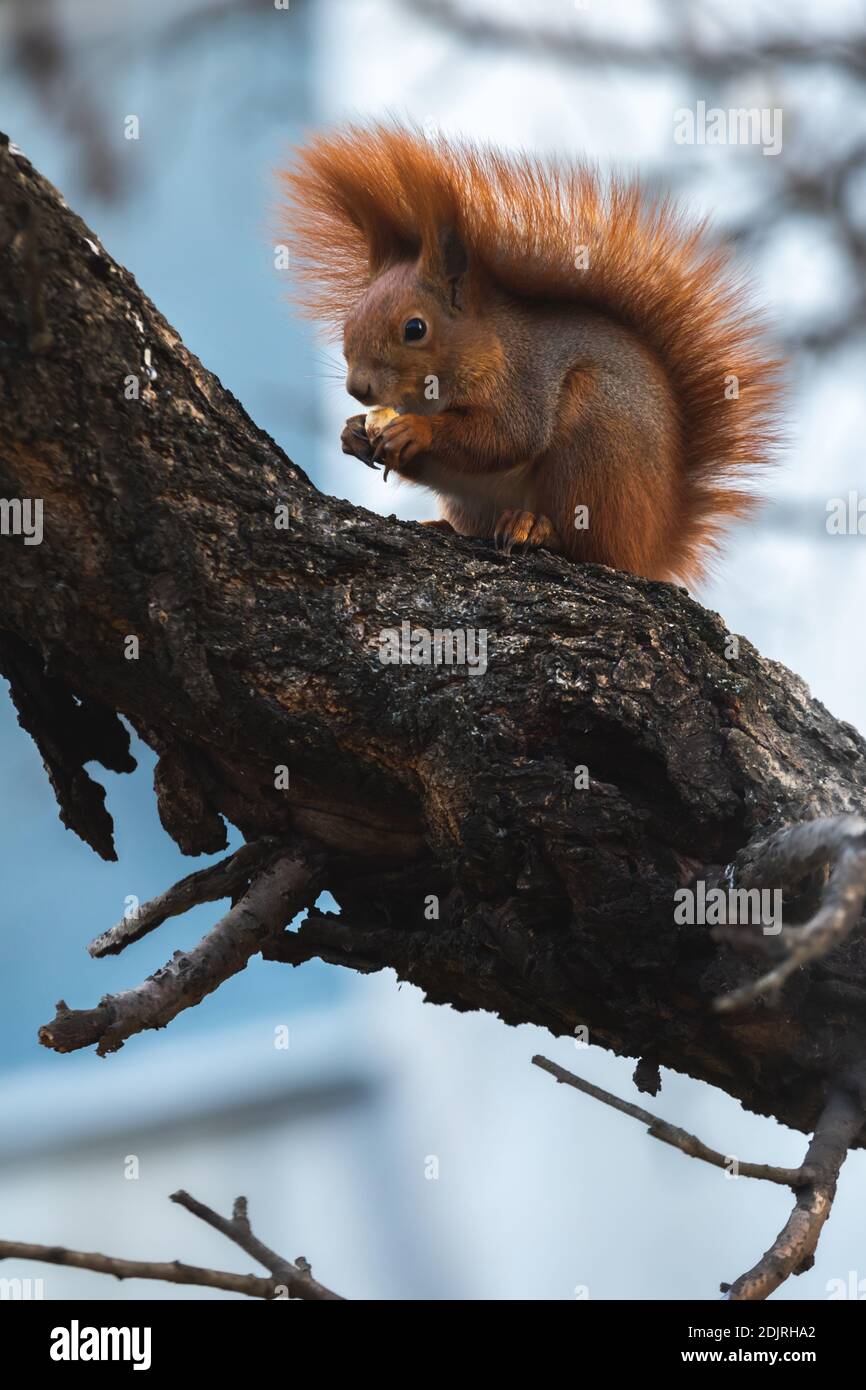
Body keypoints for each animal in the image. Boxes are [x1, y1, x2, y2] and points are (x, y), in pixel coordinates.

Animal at [278, 123, 782, 585]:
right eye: (349, 321)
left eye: (415, 328)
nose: (357, 388)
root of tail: (655, 546)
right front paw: (352, 432)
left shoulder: (524, 381)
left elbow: (506, 436)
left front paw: (416, 430)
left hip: (597, 444)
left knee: (593, 548)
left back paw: (536, 527)